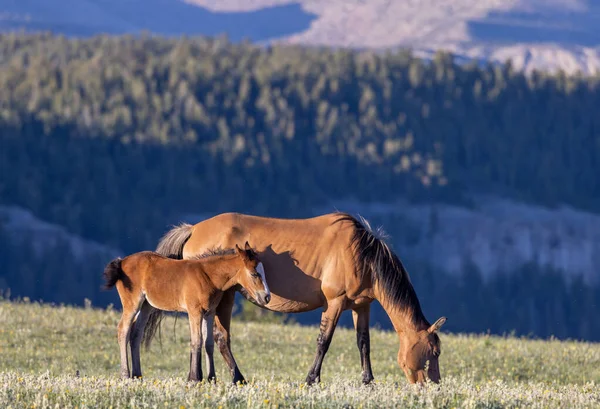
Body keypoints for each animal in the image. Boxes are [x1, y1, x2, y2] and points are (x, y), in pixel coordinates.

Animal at [103, 241, 272, 380]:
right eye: (254, 274)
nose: (267, 297)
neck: (208, 275)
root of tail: (122, 262)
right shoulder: (194, 311)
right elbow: (196, 341)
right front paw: (195, 378)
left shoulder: (209, 312)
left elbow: (208, 343)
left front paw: (211, 379)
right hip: (132, 304)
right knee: (123, 330)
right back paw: (125, 376)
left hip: (146, 306)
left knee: (136, 335)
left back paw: (137, 376)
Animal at [142, 212, 446, 384]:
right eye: (434, 352)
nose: (432, 385)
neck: (361, 253)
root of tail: (193, 229)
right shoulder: (335, 303)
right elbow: (324, 341)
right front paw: (312, 379)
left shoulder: (362, 306)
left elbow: (364, 344)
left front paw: (368, 382)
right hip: (223, 298)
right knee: (219, 338)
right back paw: (237, 378)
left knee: (207, 338)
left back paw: (209, 379)